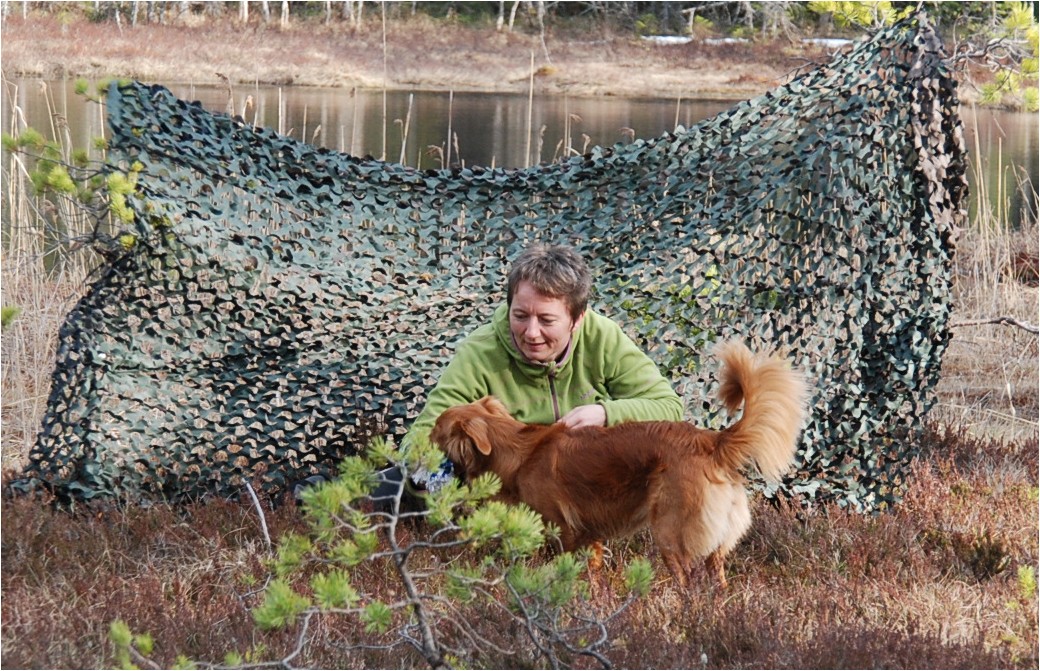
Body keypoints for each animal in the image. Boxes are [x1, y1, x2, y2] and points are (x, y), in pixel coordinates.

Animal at [426, 341, 807, 586]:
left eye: (434, 431)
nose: (419, 440)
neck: (516, 448)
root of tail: (709, 440)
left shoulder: (564, 532)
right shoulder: (589, 538)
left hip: (671, 535)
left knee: (690, 584)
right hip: (712, 544)